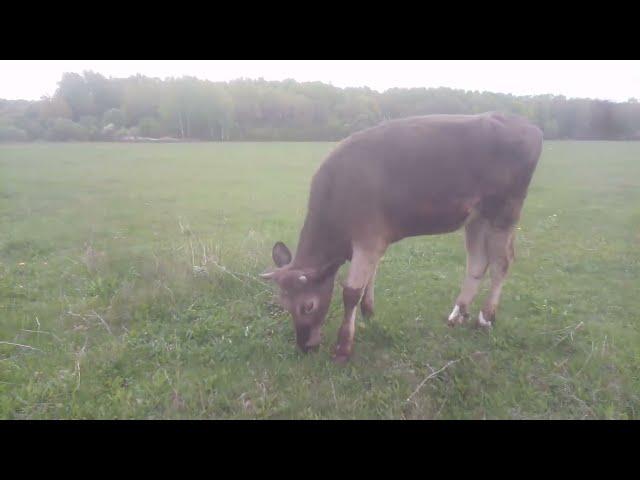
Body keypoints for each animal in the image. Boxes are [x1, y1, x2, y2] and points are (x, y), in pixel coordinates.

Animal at [260, 112, 544, 362]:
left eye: (307, 306)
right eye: (283, 303)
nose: (304, 347)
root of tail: (529, 126)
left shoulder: (367, 239)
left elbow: (351, 292)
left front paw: (343, 347)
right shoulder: (374, 243)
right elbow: (370, 277)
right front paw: (369, 311)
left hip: (504, 213)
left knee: (501, 263)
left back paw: (486, 317)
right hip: (477, 217)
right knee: (477, 262)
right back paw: (458, 313)